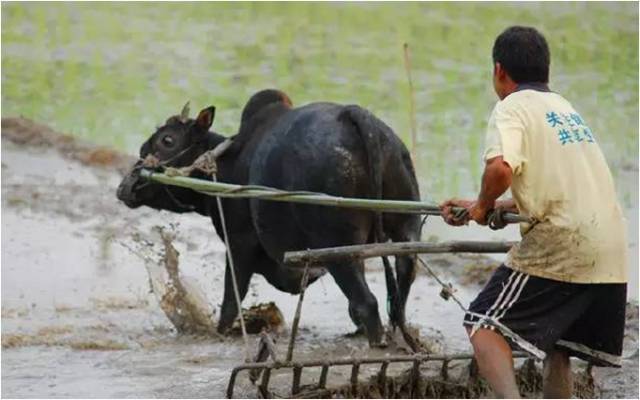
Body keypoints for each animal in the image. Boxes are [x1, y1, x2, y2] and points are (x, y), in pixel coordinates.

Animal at [117, 89, 422, 346]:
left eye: (167, 140)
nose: (125, 187)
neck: (225, 163)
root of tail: (355, 116)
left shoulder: (238, 244)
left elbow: (232, 299)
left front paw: (221, 332)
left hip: (337, 246)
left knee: (367, 302)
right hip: (405, 229)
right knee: (400, 289)